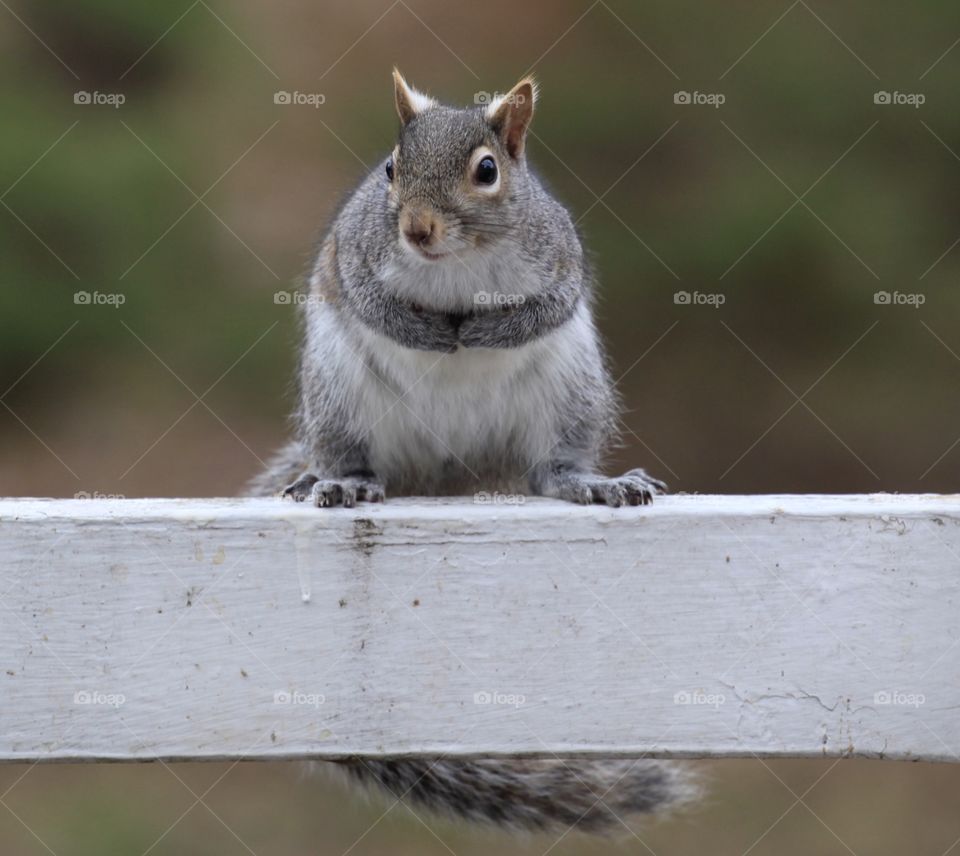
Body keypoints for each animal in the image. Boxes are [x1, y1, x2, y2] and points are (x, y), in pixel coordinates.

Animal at [247, 71, 691, 834]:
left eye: (487, 172)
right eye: (391, 169)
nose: (417, 229)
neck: (456, 264)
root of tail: (449, 472)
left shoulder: (559, 259)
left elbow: (547, 305)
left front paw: (484, 332)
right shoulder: (355, 250)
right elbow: (367, 295)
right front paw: (425, 332)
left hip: (571, 391)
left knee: (549, 471)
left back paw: (587, 483)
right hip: (336, 390)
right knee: (350, 453)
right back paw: (342, 481)